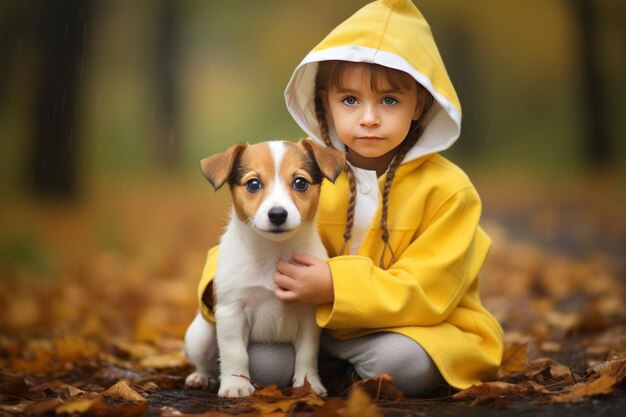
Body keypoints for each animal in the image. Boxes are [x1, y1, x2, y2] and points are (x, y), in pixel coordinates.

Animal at [183, 139, 344, 396]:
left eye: (300, 182)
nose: (277, 214)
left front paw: (308, 385)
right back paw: (201, 377)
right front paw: (236, 384)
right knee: (207, 362)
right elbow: (234, 353)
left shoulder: (308, 315)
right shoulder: (232, 311)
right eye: (253, 184)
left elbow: (307, 355)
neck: (273, 253)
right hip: (199, 337)